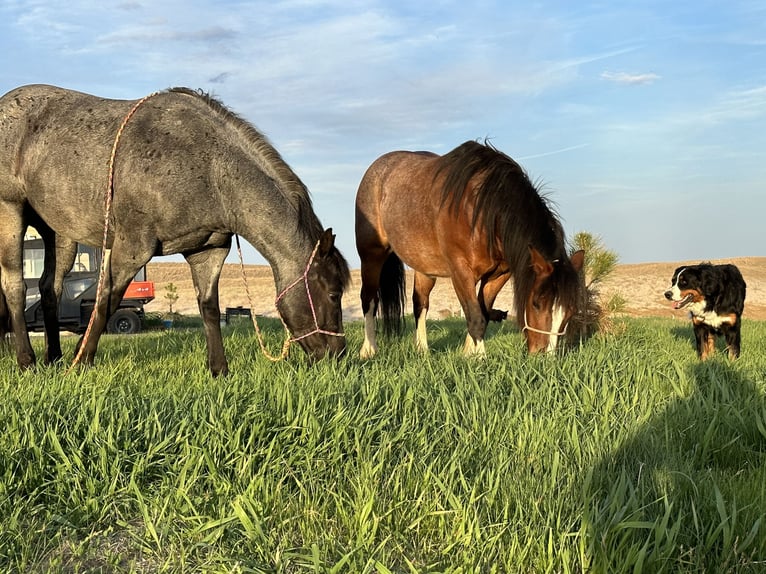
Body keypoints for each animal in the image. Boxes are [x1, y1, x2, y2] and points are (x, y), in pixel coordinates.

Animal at [0, 84, 350, 376]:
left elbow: (209, 308)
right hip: (10, 212)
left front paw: (219, 370)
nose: (338, 355)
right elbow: (107, 301)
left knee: (50, 289)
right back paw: (27, 361)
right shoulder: (131, 247)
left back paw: (54, 358)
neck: (212, 168)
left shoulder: (207, 251)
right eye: (334, 294)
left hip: (59, 234)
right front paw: (83, 361)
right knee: (15, 286)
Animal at [355, 140, 584, 358]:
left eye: (570, 311)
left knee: (420, 303)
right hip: (371, 256)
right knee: (369, 299)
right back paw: (368, 350)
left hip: (424, 266)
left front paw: (468, 354)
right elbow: (476, 317)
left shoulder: (499, 275)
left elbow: (483, 312)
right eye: (536, 303)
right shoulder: (461, 271)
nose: (544, 356)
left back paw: (422, 349)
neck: (483, 212)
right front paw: (480, 358)